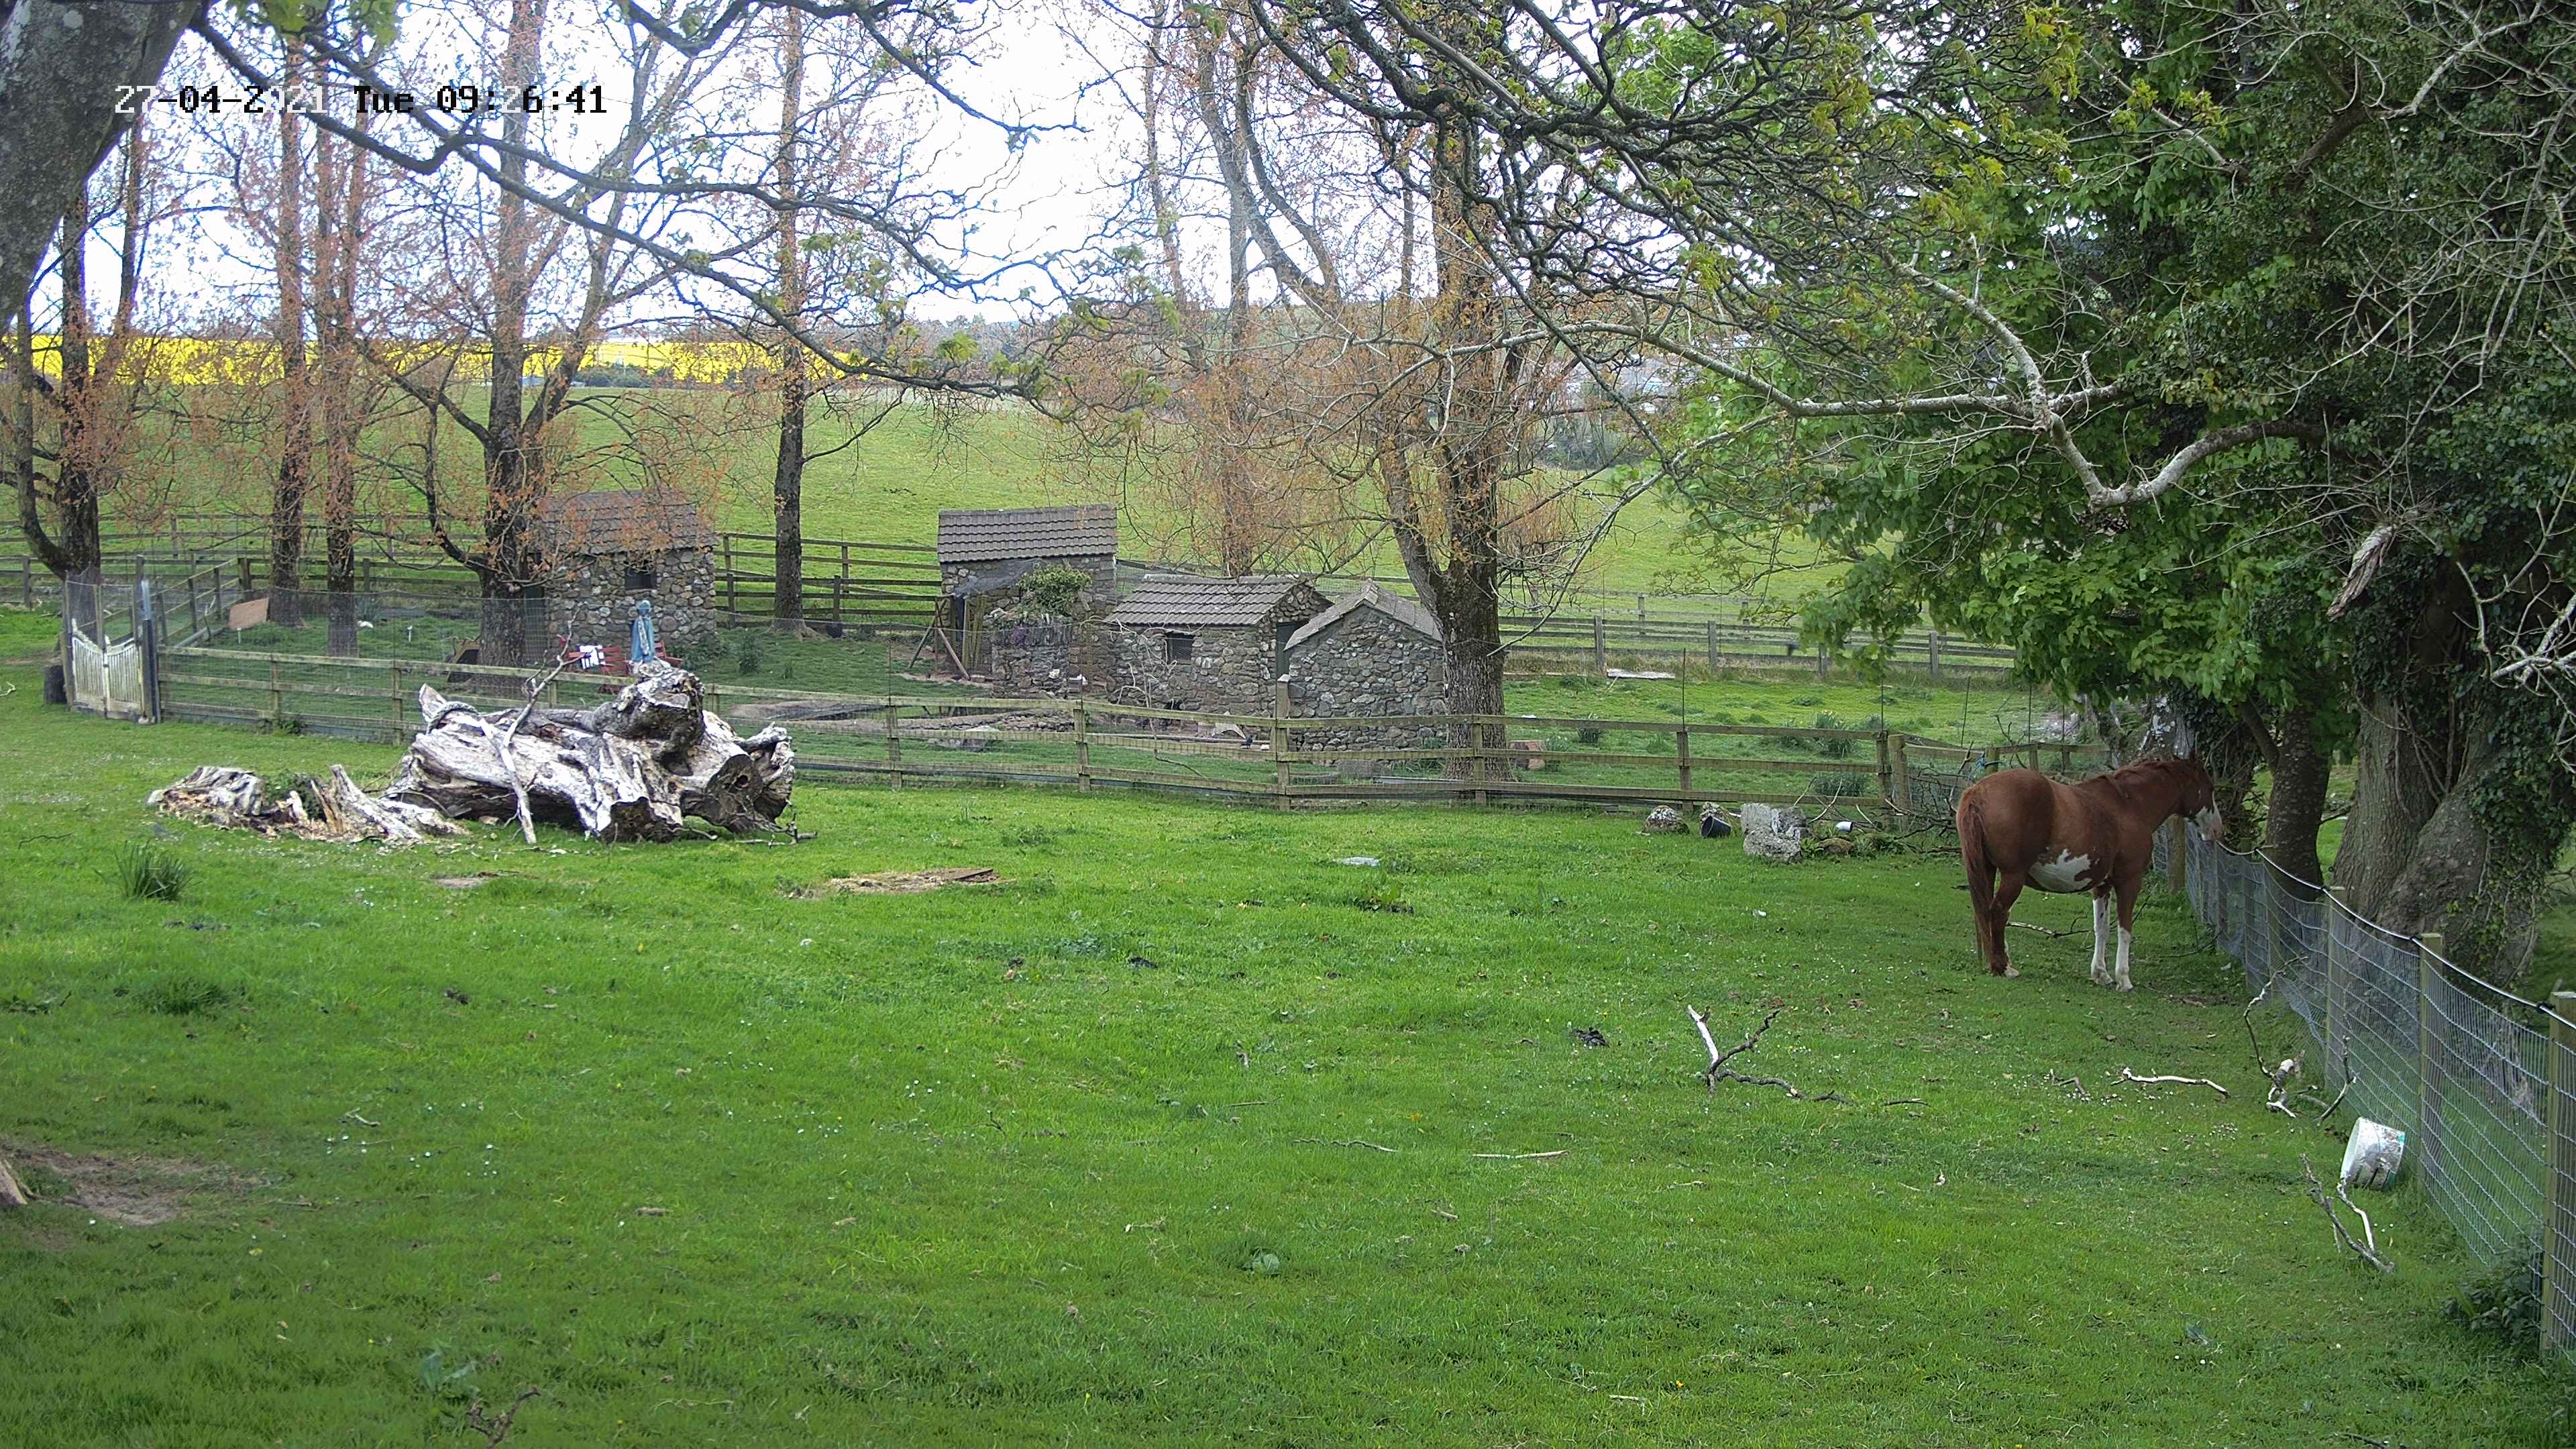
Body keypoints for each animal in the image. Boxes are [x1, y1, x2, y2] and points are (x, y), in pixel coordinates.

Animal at [1955, 757, 2222, 990]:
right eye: (2209, 787)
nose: (2217, 830)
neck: (2130, 805)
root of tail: (1978, 791)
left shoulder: (2102, 886)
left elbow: (2101, 928)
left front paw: (2101, 974)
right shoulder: (2130, 881)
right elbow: (2125, 929)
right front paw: (2123, 979)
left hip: (1987, 871)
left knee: (1985, 912)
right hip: (2013, 876)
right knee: (1998, 912)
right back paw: (2003, 967)